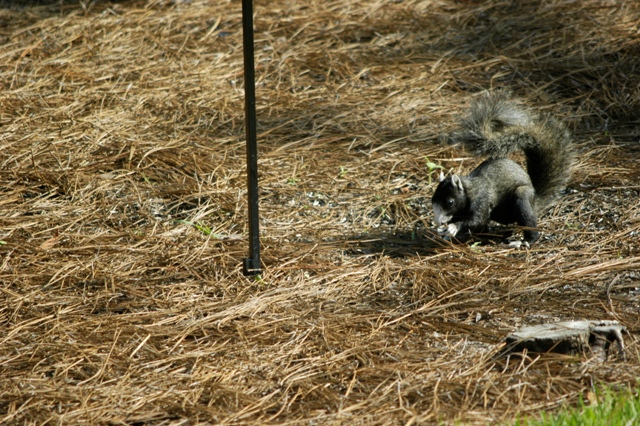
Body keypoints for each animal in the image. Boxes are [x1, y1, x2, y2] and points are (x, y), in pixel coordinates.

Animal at [431, 90, 575, 246]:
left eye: (450, 202)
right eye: (432, 199)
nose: (438, 222)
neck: (470, 190)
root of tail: (535, 201)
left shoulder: (481, 200)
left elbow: (477, 220)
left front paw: (453, 228)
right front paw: (445, 231)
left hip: (522, 197)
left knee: (528, 222)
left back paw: (526, 241)